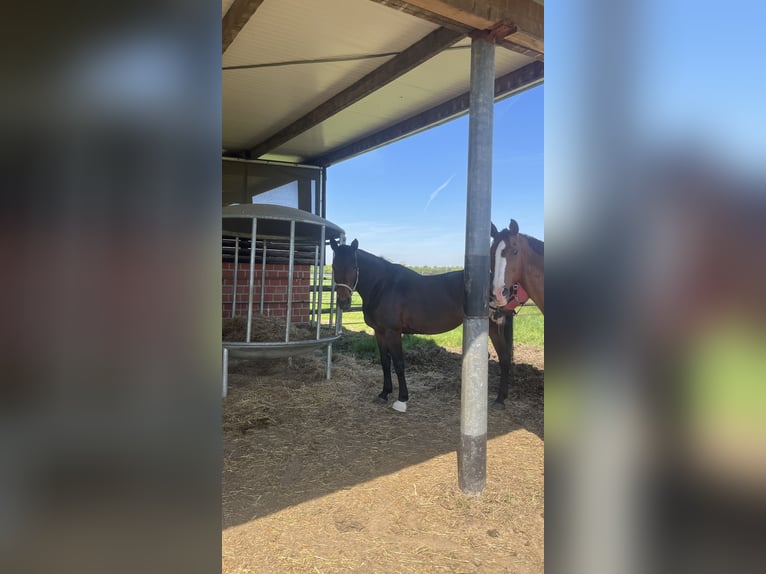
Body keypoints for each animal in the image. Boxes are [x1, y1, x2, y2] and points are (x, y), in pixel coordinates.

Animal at [329, 238, 513, 411]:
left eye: (354, 267)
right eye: (334, 267)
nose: (343, 302)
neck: (382, 286)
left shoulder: (393, 332)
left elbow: (399, 363)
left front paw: (402, 399)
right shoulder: (379, 332)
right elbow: (385, 362)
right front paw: (384, 393)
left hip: (494, 328)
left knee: (504, 358)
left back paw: (499, 400)